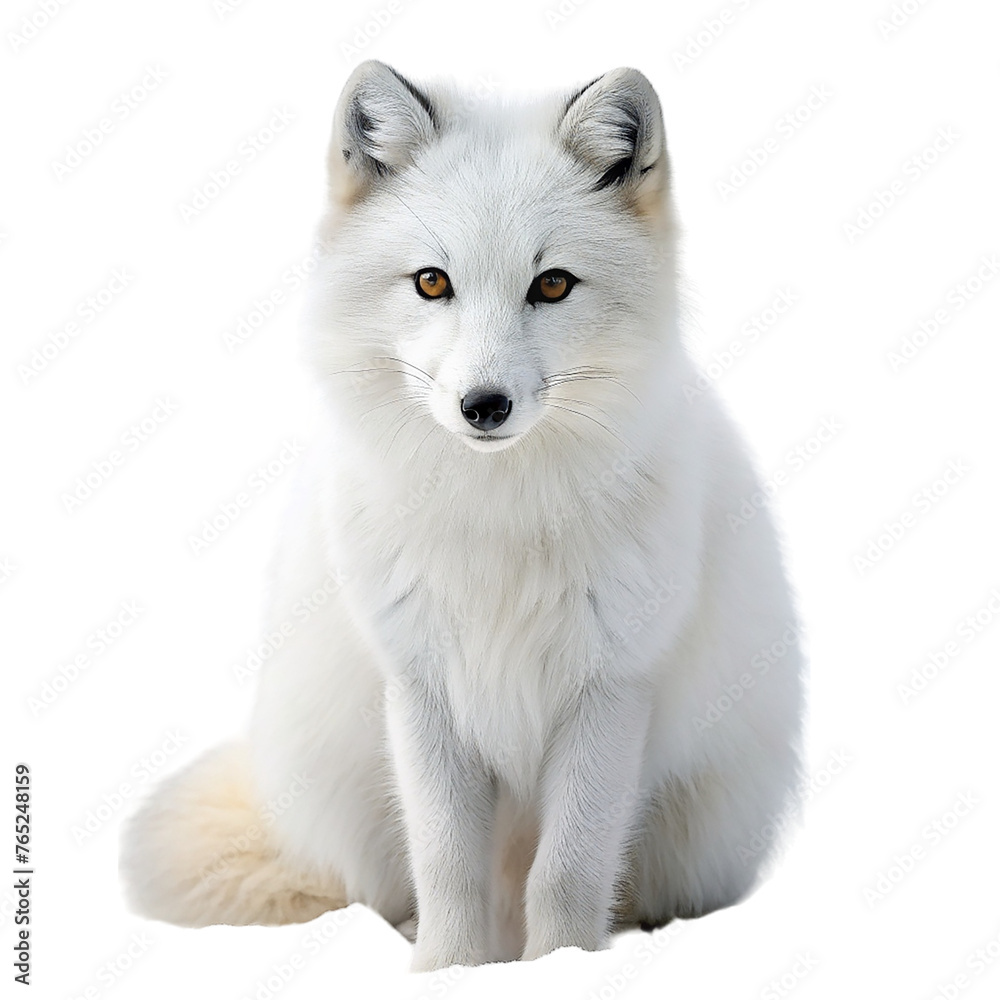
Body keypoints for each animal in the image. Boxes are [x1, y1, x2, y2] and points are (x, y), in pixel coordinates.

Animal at [120, 60, 804, 972]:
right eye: (431, 282)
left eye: (552, 284)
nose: (484, 406)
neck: (499, 522)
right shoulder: (420, 688)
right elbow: (446, 860)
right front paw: (445, 969)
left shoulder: (609, 690)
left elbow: (570, 868)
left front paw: (560, 967)